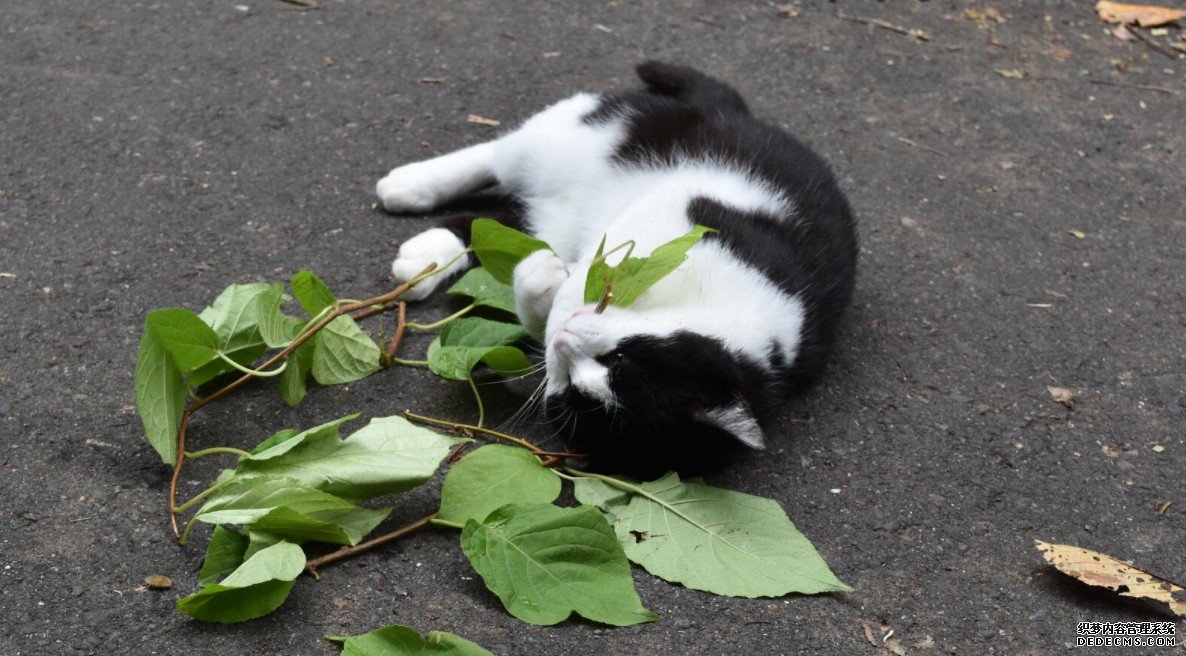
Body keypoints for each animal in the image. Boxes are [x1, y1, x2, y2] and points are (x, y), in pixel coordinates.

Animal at [374, 62, 858, 469]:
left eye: (574, 395)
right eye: (622, 358)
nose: (567, 340)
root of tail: (731, 112)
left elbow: (544, 302)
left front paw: (546, 289)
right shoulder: (686, 219)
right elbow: (602, 265)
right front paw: (561, 284)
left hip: (550, 210)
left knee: (497, 228)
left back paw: (424, 257)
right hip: (586, 132)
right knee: (499, 156)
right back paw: (409, 187)